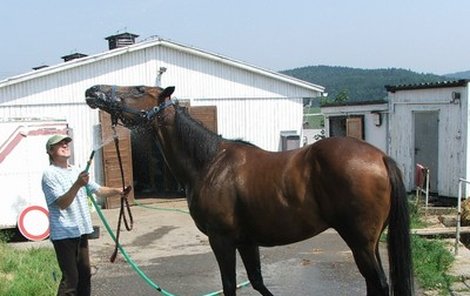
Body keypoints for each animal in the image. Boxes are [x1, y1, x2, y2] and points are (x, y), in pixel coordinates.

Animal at [86, 84, 414, 294]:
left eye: (139, 90)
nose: (93, 91)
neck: (209, 162)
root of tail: (380, 157)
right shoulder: (246, 241)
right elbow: (257, 281)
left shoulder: (221, 240)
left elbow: (230, 286)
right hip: (369, 243)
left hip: (360, 241)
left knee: (379, 284)